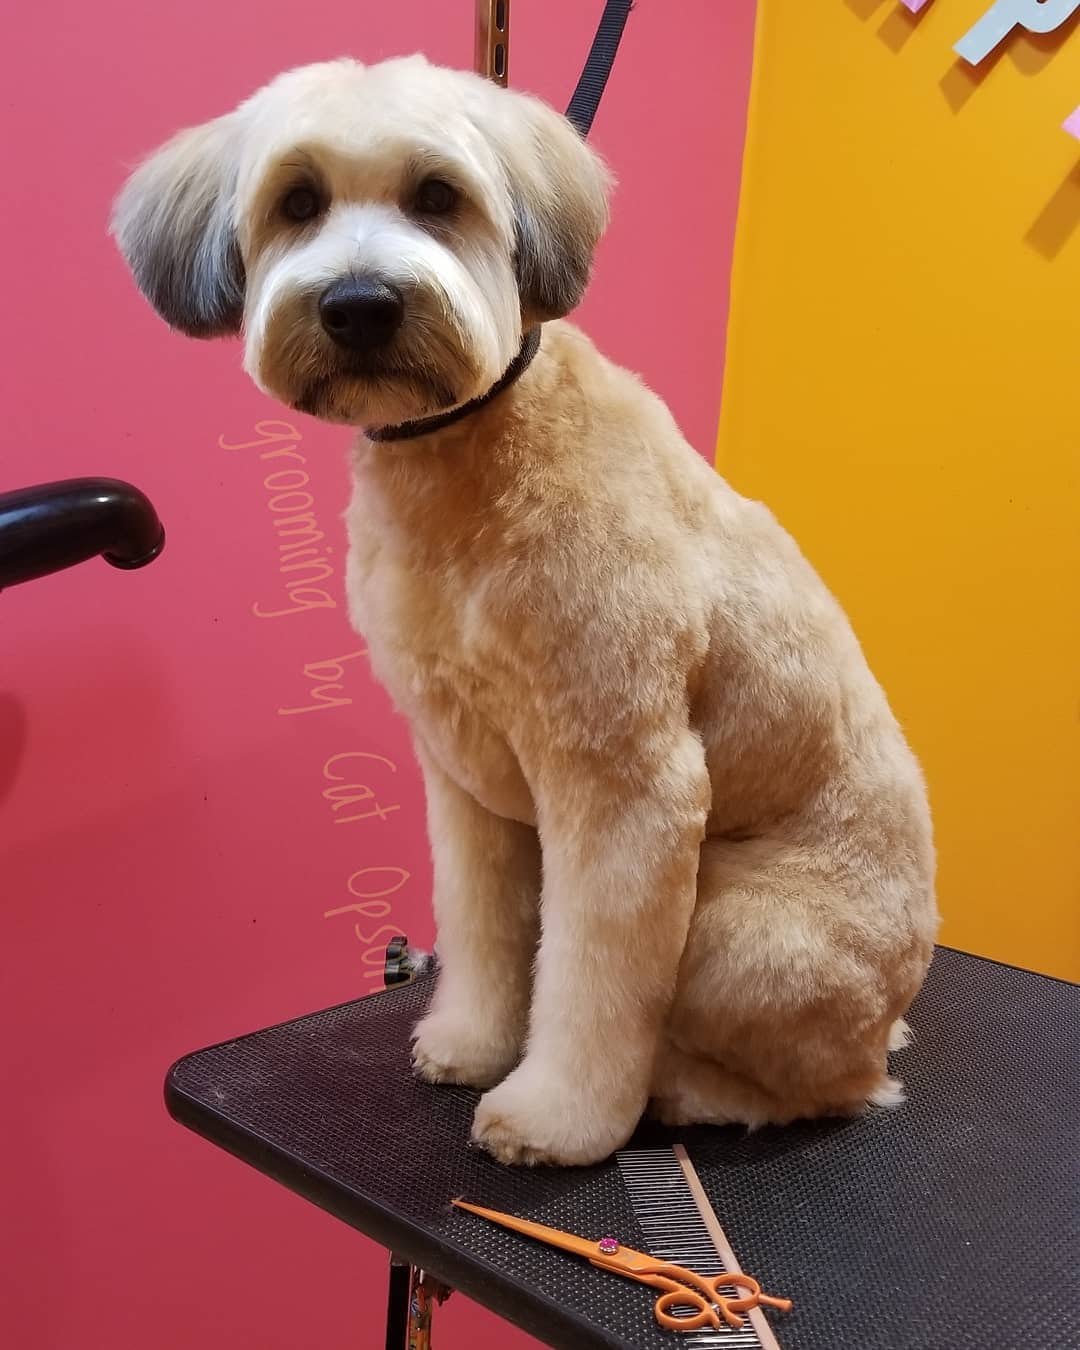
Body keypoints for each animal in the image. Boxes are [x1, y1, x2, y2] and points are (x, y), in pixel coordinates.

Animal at [112, 58, 934, 1166]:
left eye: (436, 196)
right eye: (298, 202)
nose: (360, 305)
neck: (465, 459)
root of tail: (891, 1017)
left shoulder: (626, 787)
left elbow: (593, 980)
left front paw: (555, 1117)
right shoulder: (466, 781)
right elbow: (485, 931)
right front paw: (472, 1043)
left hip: (738, 931)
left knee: (826, 1088)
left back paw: (684, 1090)